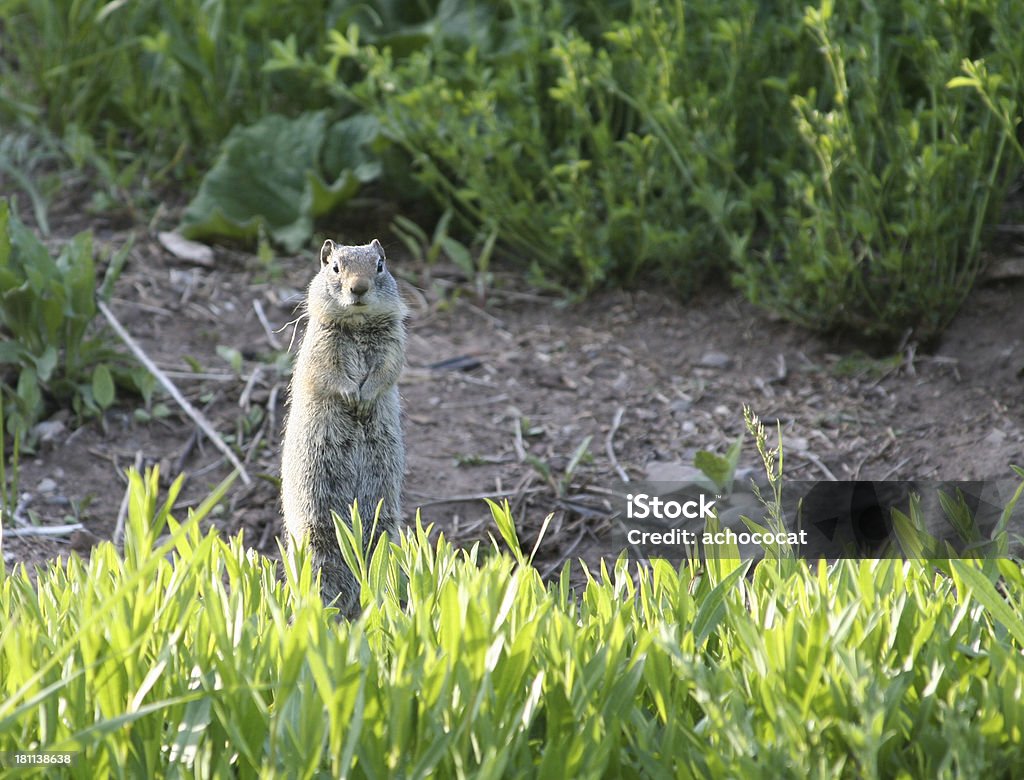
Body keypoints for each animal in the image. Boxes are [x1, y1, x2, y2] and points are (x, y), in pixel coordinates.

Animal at [282, 237, 409, 614]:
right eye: (335, 267)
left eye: (380, 265)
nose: (359, 288)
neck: (357, 323)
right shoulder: (323, 348)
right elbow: (332, 374)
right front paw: (353, 396)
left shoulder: (393, 344)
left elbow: (386, 370)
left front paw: (365, 398)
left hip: (384, 528)